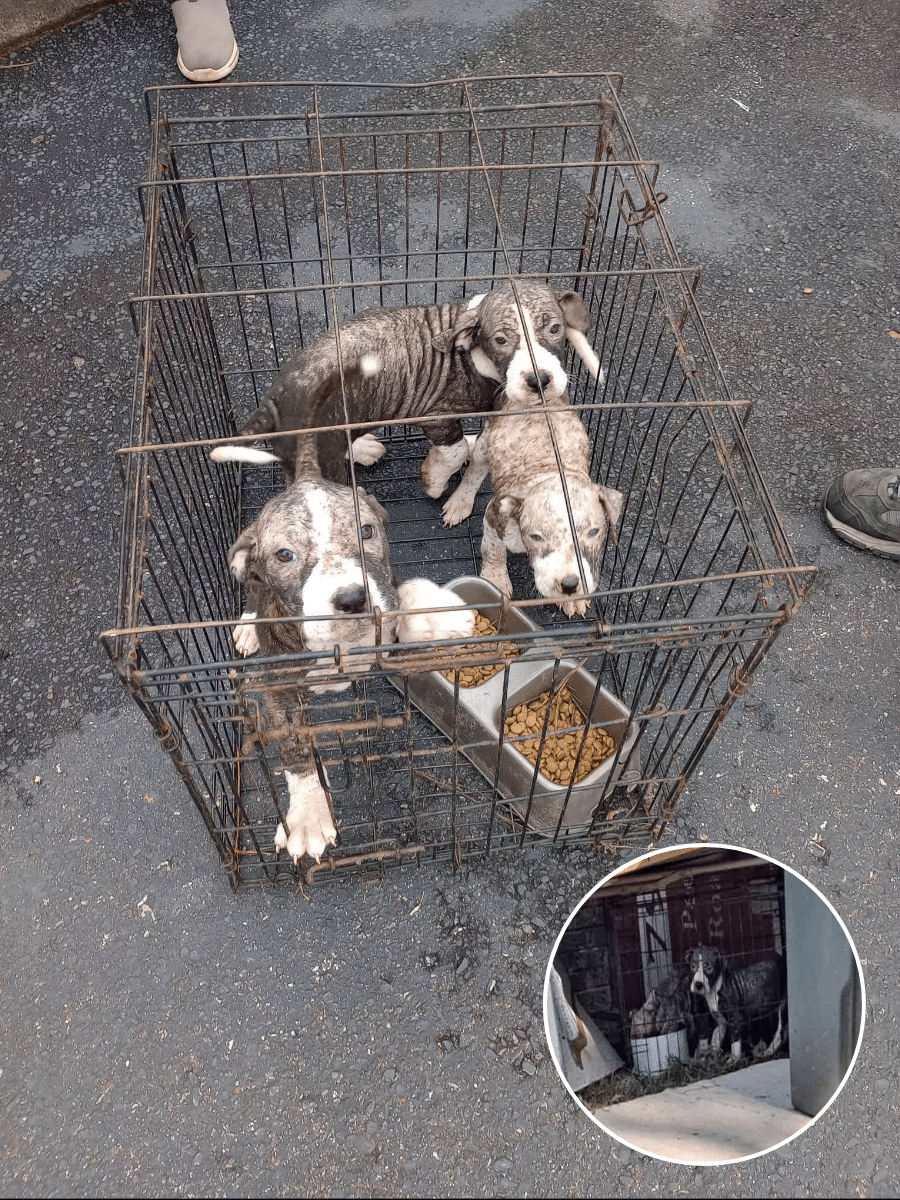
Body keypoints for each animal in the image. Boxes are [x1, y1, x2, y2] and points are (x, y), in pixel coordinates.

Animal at [209, 278, 603, 496]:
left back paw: (364, 447)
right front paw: (435, 481)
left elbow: (476, 447)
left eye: (555, 329)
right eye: (501, 339)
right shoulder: (434, 415)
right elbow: (455, 450)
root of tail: (272, 400)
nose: (539, 381)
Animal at [228, 472, 475, 864]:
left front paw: (436, 615)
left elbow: (402, 593)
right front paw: (308, 815)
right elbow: (296, 749)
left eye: (367, 531)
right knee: (253, 591)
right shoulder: (276, 690)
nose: (352, 598)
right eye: (285, 555)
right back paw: (250, 626)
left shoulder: (385, 605)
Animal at [441, 388, 624, 617]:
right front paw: (495, 581)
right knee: (474, 471)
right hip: (486, 443)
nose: (569, 585)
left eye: (593, 532)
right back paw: (460, 501)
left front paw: (572, 599)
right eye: (536, 537)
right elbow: (492, 550)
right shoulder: (495, 515)